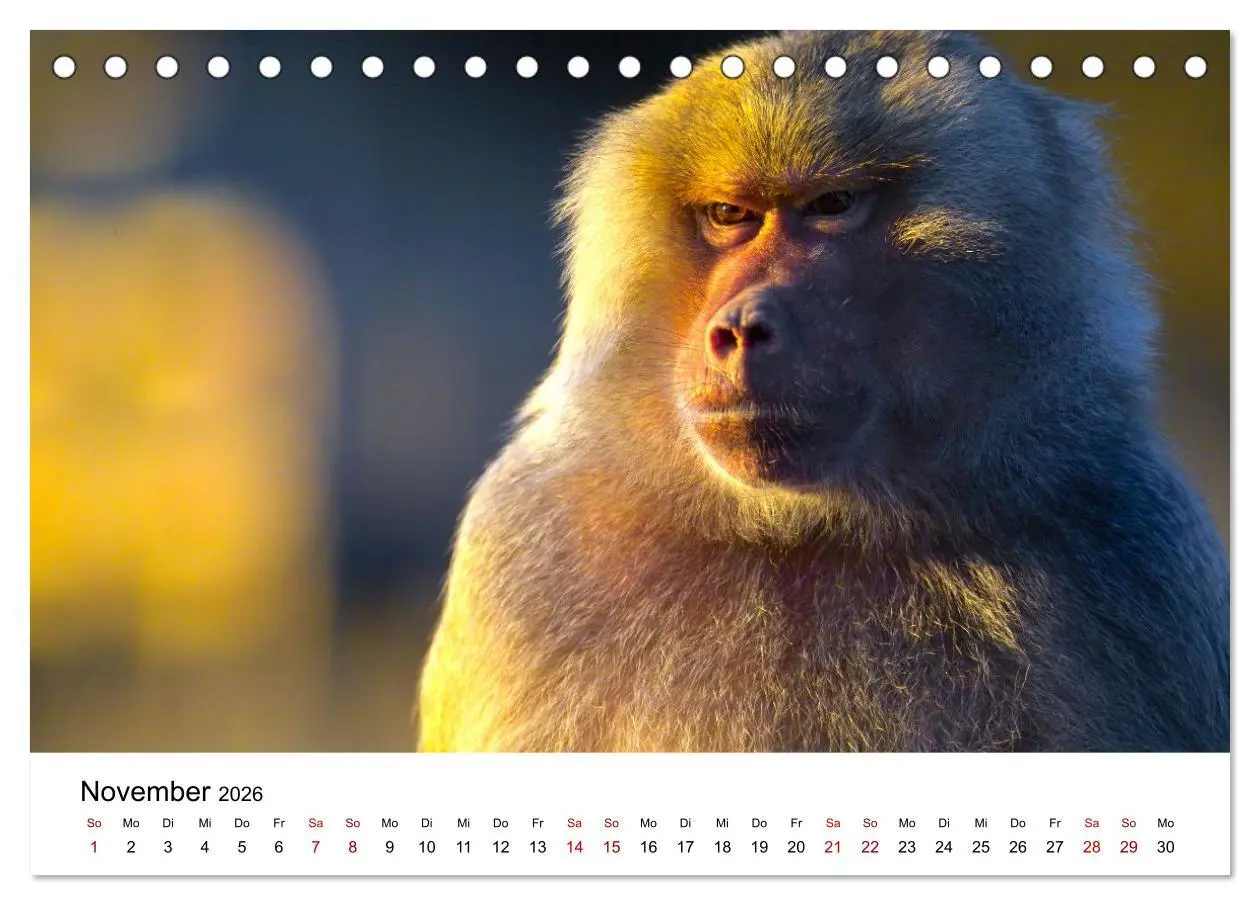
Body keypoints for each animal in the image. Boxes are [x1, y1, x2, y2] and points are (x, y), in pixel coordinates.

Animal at [417, 30, 1229, 753]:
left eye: (833, 205)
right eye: (730, 215)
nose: (741, 329)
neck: (803, 532)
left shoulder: (1130, 545)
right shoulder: (530, 542)